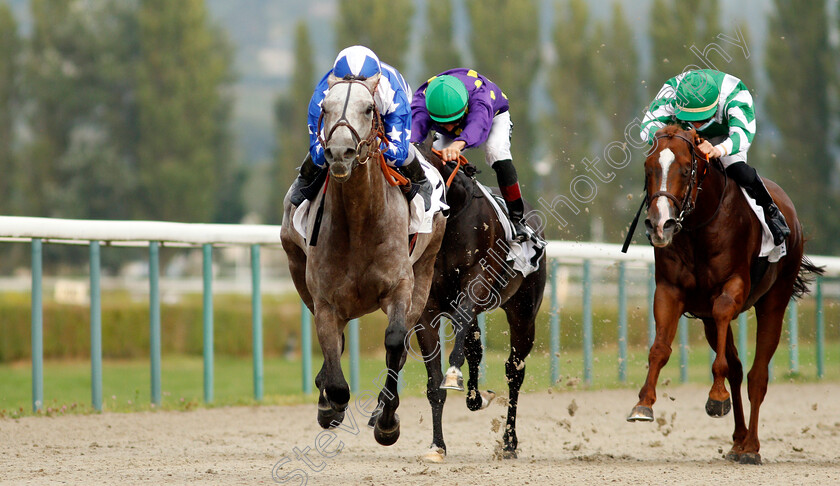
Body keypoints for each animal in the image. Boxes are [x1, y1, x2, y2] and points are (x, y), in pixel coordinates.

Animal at [278, 75, 446, 444]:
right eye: (325, 107)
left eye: (369, 108)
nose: (340, 152)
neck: (358, 221)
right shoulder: (325, 301)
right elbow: (335, 366)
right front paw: (328, 405)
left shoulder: (400, 286)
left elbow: (395, 342)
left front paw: (387, 422)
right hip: (296, 267)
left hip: (425, 272)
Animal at [408, 140, 548, 460]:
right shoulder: (427, 310)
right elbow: (434, 383)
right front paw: (437, 445)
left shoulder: (475, 284)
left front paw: (454, 375)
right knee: (475, 349)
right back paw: (476, 397)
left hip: (524, 314)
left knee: (514, 370)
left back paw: (509, 442)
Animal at [628, 124, 824, 464]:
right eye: (648, 168)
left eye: (685, 169)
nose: (661, 224)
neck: (698, 227)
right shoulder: (670, 290)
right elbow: (660, 348)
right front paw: (644, 403)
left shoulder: (733, 287)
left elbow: (724, 324)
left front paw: (716, 397)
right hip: (707, 319)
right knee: (737, 368)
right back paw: (738, 441)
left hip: (775, 299)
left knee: (758, 375)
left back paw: (752, 447)